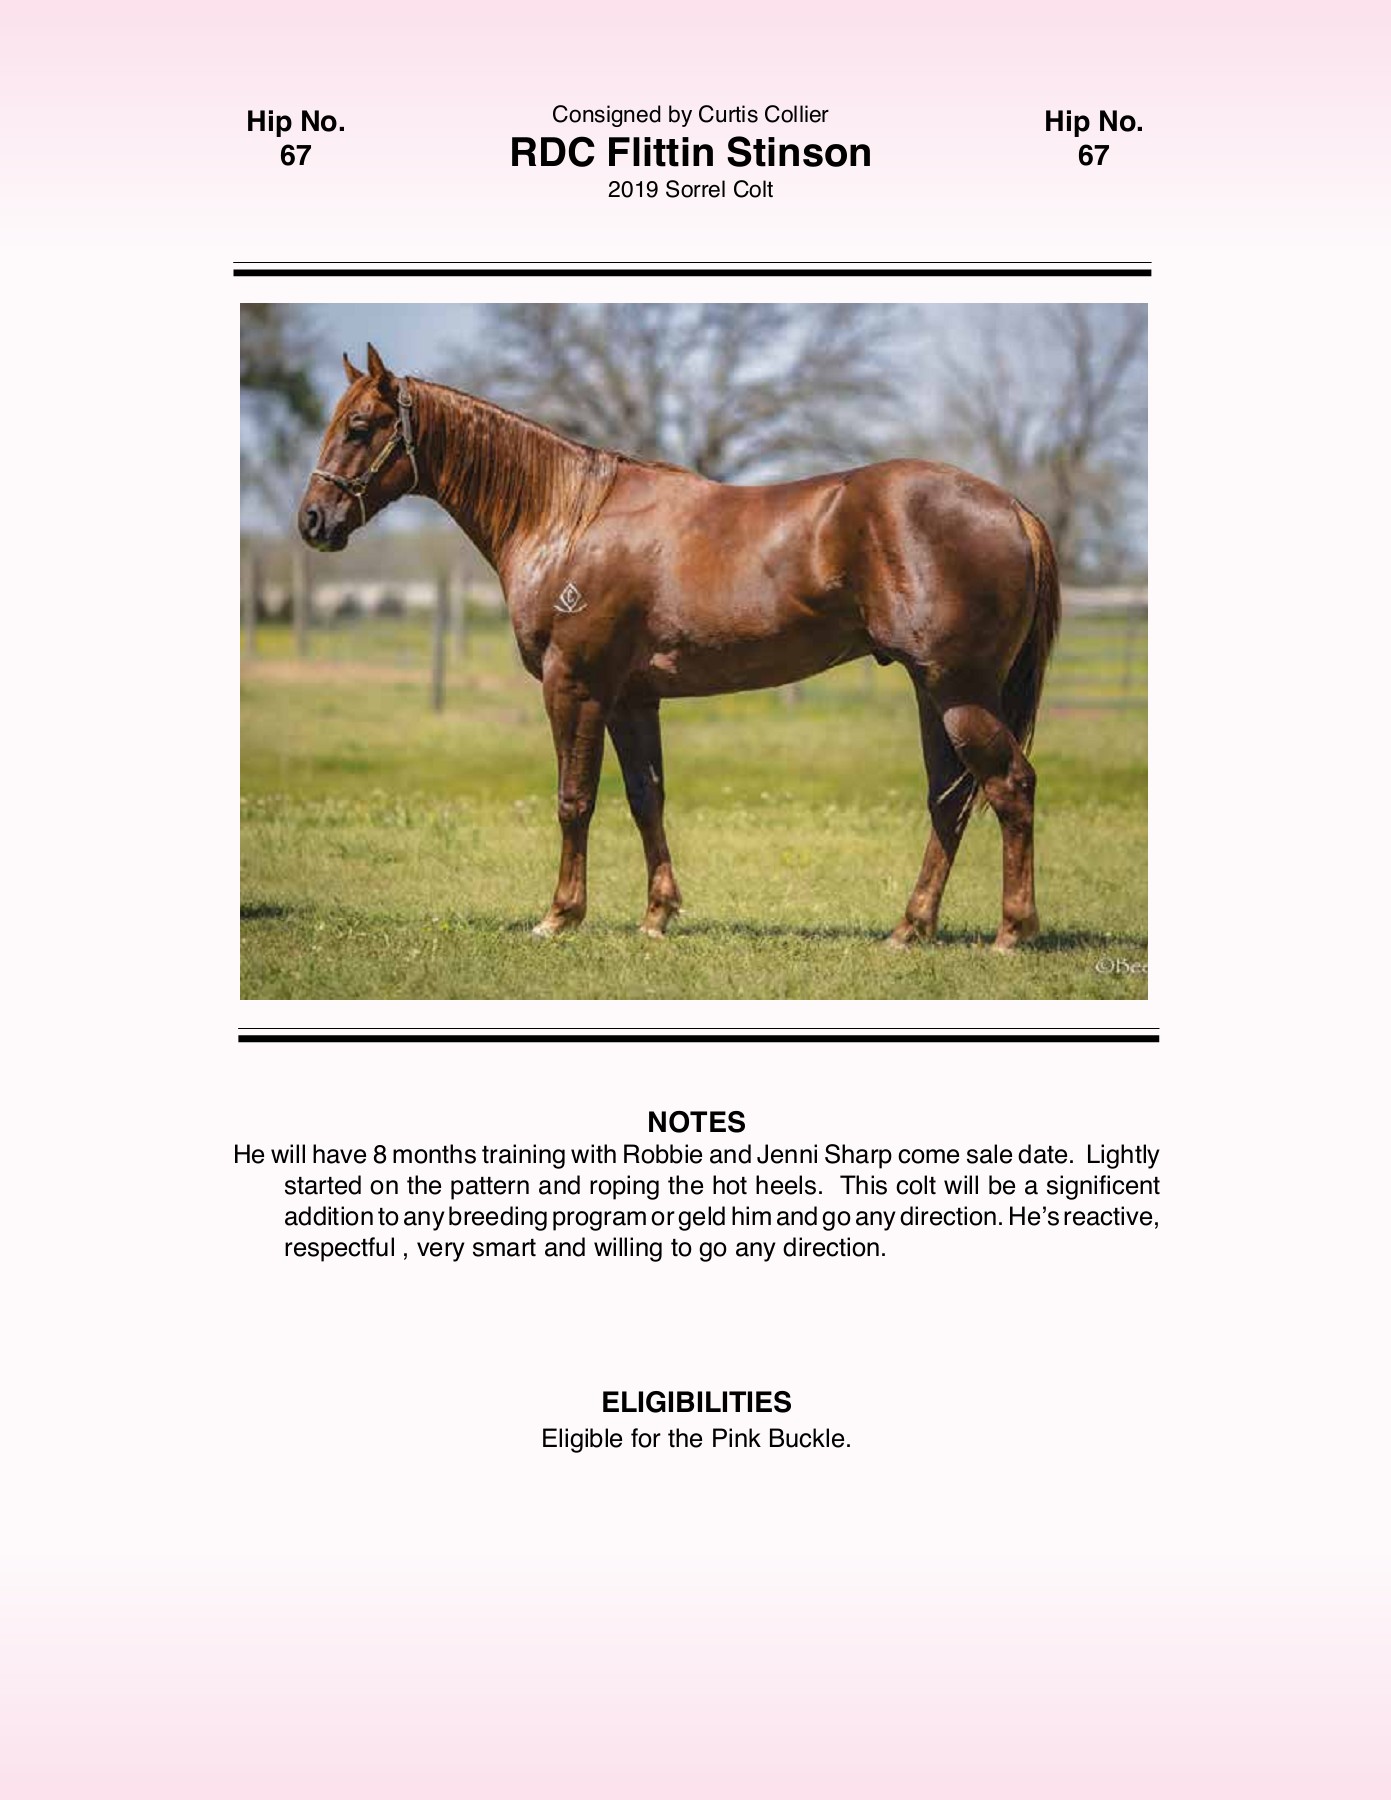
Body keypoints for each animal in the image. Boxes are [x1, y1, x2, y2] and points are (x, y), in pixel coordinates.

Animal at [298, 345, 1060, 951]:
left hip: (957, 690)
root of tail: (1013, 510)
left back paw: (1011, 931)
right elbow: (646, 798)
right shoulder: (631, 698)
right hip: (934, 691)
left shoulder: (573, 685)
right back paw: (910, 927)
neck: (568, 520)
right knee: (949, 799)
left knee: (1009, 785)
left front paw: (558, 916)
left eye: (359, 428)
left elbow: (574, 800)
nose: (312, 520)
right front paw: (657, 915)